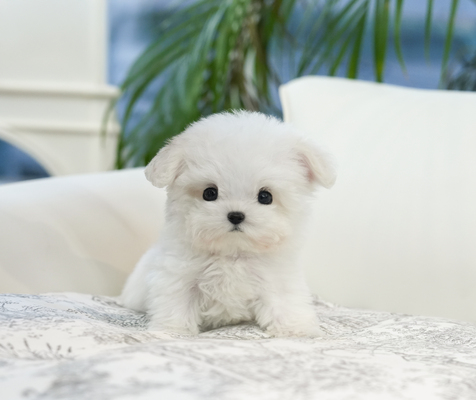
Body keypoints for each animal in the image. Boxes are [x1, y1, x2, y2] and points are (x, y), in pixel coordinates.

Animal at [120, 111, 336, 337]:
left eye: (265, 196)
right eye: (209, 193)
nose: (236, 215)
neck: (233, 253)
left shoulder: (277, 278)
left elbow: (285, 301)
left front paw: (295, 329)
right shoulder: (178, 275)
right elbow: (177, 302)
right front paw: (172, 330)